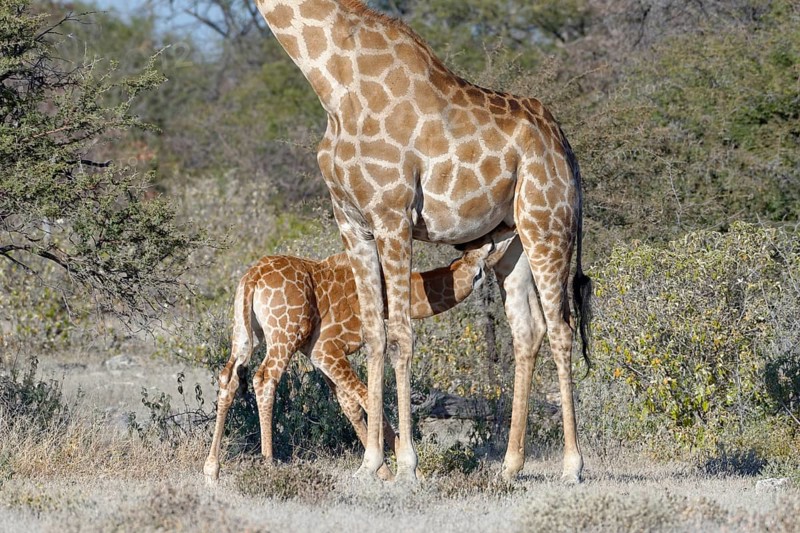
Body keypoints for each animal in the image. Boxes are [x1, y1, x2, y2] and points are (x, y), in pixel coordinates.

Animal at [203, 231, 513, 484]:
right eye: (485, 253)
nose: (499, 241)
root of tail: (252, 278)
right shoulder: (327, 348)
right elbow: (367, 397)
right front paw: (408, 470)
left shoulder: (320, 355)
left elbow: (350, 404)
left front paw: (384, 470)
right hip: (284, 334)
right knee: (265, 379)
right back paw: (268, 464)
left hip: (245, 334)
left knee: (228, 377)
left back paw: (212, 468)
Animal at [251, 0, 592, 483]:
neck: (334, 83)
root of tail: (564, 144)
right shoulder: (352, 223)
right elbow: (375, 333)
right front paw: (370, 463)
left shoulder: (392, 214)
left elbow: (401, 334)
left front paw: (407, 464)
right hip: (513, 243)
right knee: (528, 331)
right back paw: (510, 466)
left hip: (548, 222)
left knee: (562, 328)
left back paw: (571, 466)